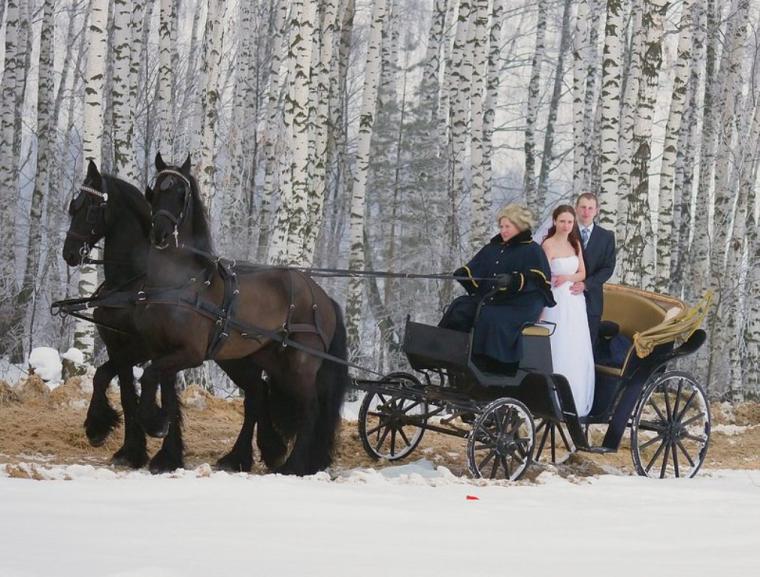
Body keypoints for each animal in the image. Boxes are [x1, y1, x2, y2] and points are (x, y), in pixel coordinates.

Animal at [60, 161, 286, 472]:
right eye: (74, 206)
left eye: (92, 208)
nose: (69, 253)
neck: (131, 282)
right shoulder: (120, 347)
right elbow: (113, 384)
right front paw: (120, 441)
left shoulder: (140, 349)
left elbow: (139, 391)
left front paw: (145, 442)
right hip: (235, 359)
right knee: (257, 392)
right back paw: (260, 452)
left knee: (256, 394)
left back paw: (245, 456)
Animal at [137, 153, 348, 472]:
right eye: (155, 191)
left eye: (181, 193)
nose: (160, 234)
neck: (184, 281)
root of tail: (324, 298)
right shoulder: (163, 351)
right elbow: (165, 392)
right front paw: (166, 448)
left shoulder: (190, 353)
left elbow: (148, 377)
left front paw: (154, 424)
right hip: (265, 360)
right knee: (260, 397)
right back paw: (248, 457)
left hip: (300, 365)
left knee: (310, 409)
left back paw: (293, 466)